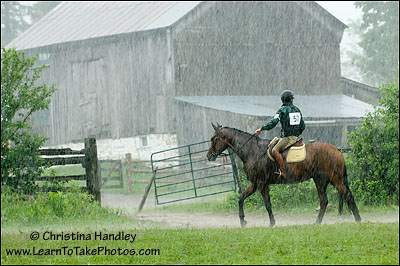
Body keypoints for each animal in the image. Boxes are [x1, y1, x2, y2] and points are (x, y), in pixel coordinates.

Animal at [206, 122, 362, 227]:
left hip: (335, 179)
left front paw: (272, 223)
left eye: (214, 139)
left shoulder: (262, 183)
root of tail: (337, 150)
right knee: (324, 201)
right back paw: (317, 222)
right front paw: (243, 221)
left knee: (347, 196)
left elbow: (267, 204)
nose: (209, 156)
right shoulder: (255, 183)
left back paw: (358, 220)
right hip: (320, 181)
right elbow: (241, 198)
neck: (252, 151)